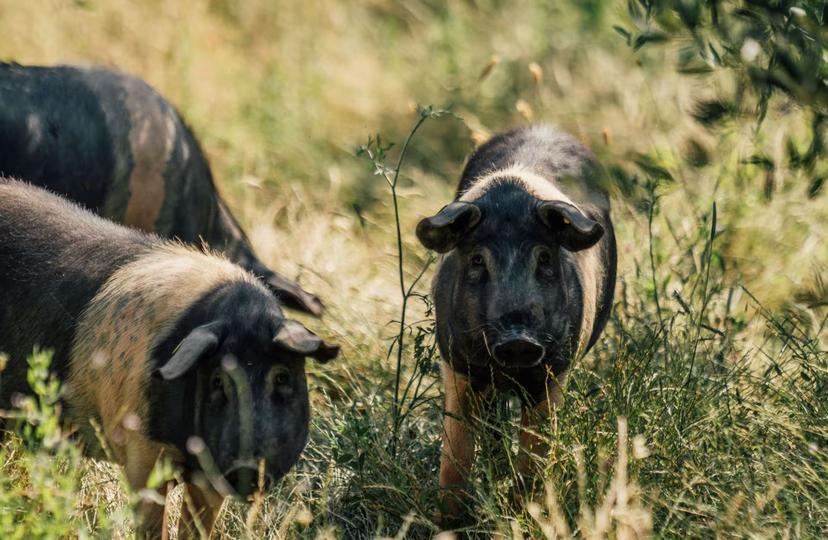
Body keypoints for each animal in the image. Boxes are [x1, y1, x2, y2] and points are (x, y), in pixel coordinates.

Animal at [0, 179, 339, 538]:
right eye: (217, 381)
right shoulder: (142, 453)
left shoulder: (210, 479)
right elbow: (151, 524)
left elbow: (197, 528)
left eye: (283, 376)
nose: (247, 466)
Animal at [416, 125, 617, 520]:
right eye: (478, 259)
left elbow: (534, 456)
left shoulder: (553, 373)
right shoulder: (457, 366)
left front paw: (524, 513)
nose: (518, 339)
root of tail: (545, 127)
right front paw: (449, 522)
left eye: (544, 257)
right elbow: (455, 456)